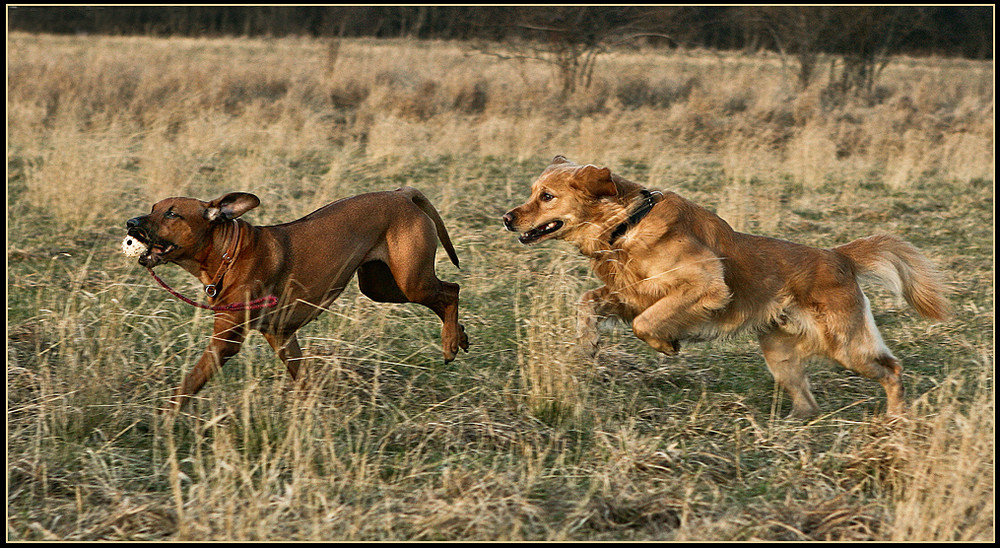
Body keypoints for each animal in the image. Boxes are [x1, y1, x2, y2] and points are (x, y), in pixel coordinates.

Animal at [128, 186, 468, 408]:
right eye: (154, 207)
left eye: (172, 213)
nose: (130, 223)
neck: (227, 254)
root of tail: (400, 192)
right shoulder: (281, 334)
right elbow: (302, 377)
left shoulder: (226, 340)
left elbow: (190, 382)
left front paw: (166, 418)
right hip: (380, 286)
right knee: (446, 293)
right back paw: (460, 335)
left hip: (411, 281)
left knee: (451, 291)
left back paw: (450, 341)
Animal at [504, 156, 948, 418]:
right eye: (532, 193)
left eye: (547, 196)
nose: (507, 218)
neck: (625, 225)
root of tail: (838, 256)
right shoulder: (631, 293)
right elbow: (589, 302)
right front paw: (587, 343)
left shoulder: (705, 283)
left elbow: (647, 323)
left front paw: (667, 344)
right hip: (781, 354)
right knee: (807, 399)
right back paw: (791, 425)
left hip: (845, 345)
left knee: (892, 370)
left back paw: (896, 418)